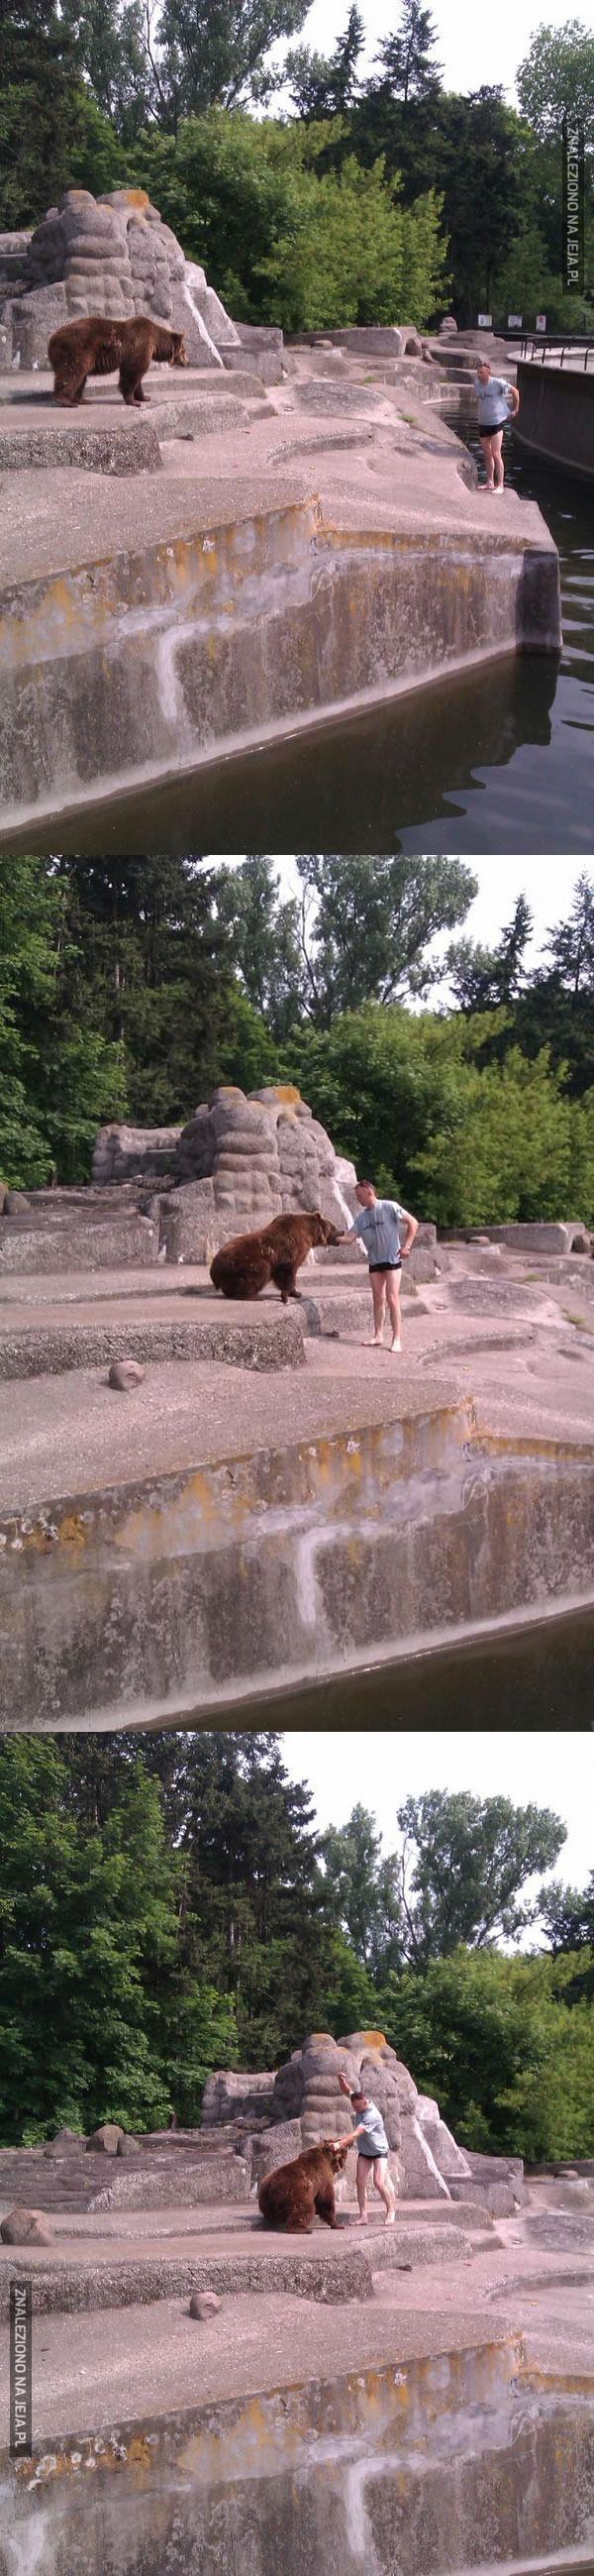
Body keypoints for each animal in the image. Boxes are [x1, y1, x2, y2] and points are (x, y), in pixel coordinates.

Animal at [49, 319, 187, 409]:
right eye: (184, 351)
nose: (188, 361)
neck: (156, 342)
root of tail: (51, 339)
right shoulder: (141, 346)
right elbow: (133, 373)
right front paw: (133, 401)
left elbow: (136, 376)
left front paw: (144, 397)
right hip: (76, 349)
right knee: (72, 373)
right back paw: (67, 401)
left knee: (80, 378)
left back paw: (82, 399)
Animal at [209, 1211, 339, 1308]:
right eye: (333, 1227)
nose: (341, 1231)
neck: (309, 1234)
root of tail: (213, 1269)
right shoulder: (289, 1252)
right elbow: (287, 1274)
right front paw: (288, 1295)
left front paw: (296, 1293)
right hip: (245, 1264)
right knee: (260, 1273)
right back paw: (253, 1296)